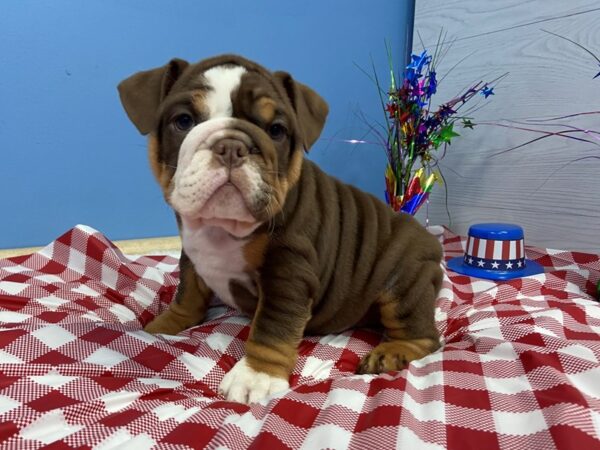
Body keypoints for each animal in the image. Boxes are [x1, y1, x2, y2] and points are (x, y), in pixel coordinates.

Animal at [118, 53, 446, 404]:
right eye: (183, 121)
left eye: (276, 130)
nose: (231, 145)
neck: (222, 227)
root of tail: (432, 245)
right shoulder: (192, 254)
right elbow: (187, 292)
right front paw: (165, 324)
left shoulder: (288, 272)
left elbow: (272, 326)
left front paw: (256, 375)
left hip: (403, 284)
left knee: (424, 336)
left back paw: (390, 352)